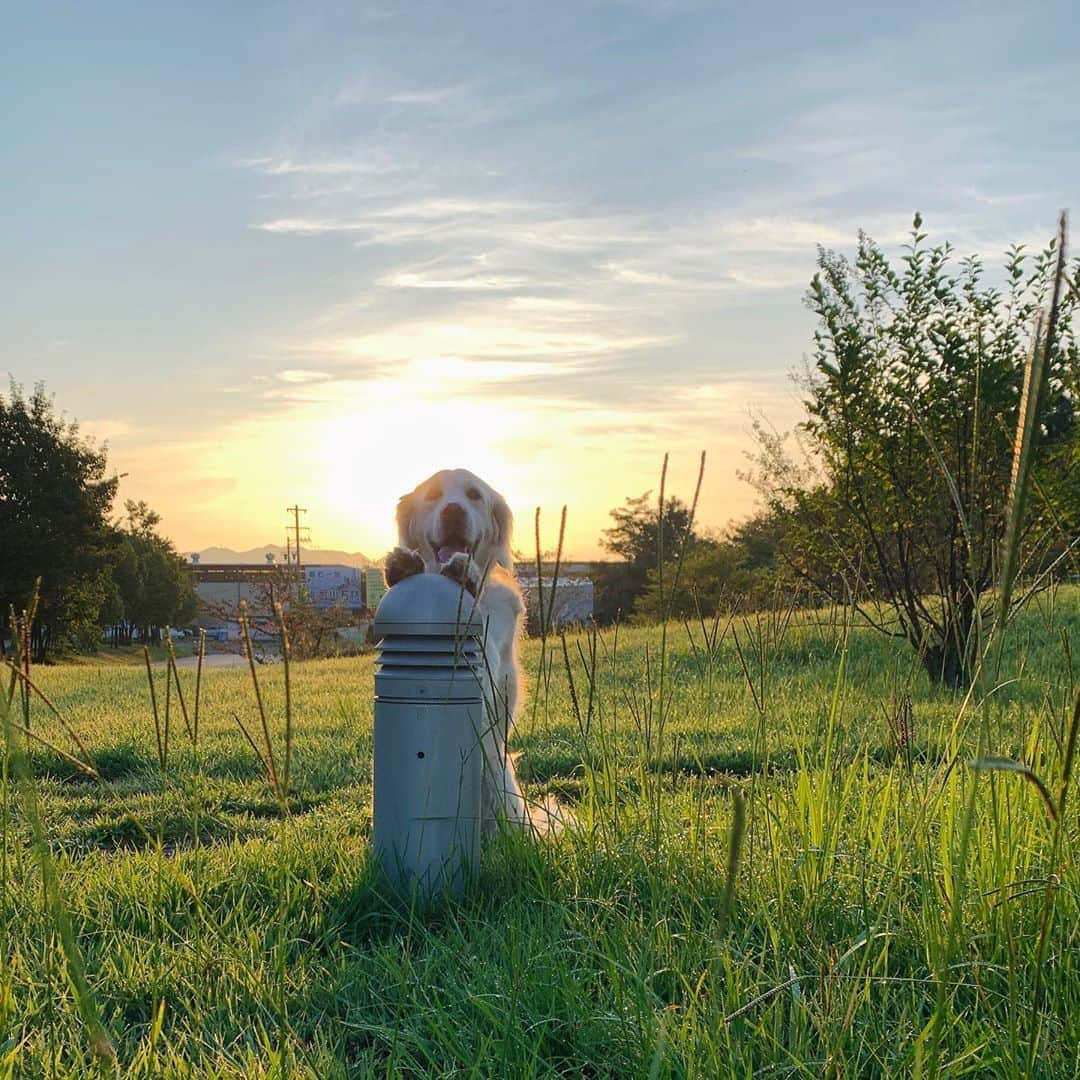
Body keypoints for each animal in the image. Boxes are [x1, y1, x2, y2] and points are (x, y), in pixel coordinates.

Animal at [386, 466, 557, 833]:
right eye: (433, 495)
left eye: (474, 495)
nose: (453, 510)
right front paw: (402, 568)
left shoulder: (491, 650)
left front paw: (466, 576)